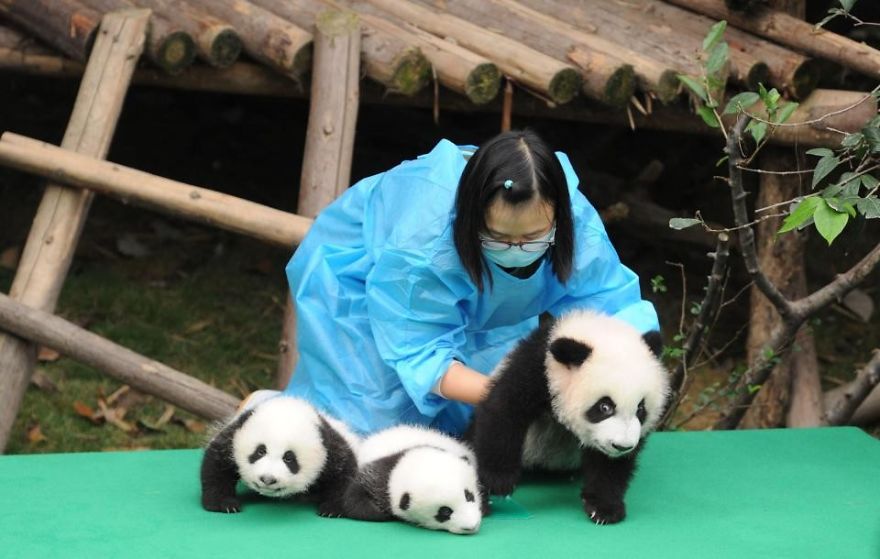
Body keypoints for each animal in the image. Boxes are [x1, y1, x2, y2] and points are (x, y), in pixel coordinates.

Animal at [200, 394, 360, 516]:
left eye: (289, 458)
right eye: (260, 451)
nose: (267, 479)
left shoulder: (332, 448)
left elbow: (344, 473)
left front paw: (332, 509)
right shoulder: (232, 437)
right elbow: (217, 465)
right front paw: (223, 503)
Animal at [339, 425, 483, 535]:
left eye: (469, 496)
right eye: (444, 512)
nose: (471, 526)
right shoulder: (379, 476)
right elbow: (354, 494)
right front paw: (380, 514)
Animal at [466, 309, 669, 525]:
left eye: (640, 409)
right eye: (604, 407)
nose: (621, 447)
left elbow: (609, 464)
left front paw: (604, 508)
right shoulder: (537, 368)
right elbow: (505, 411)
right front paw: (498, 480)